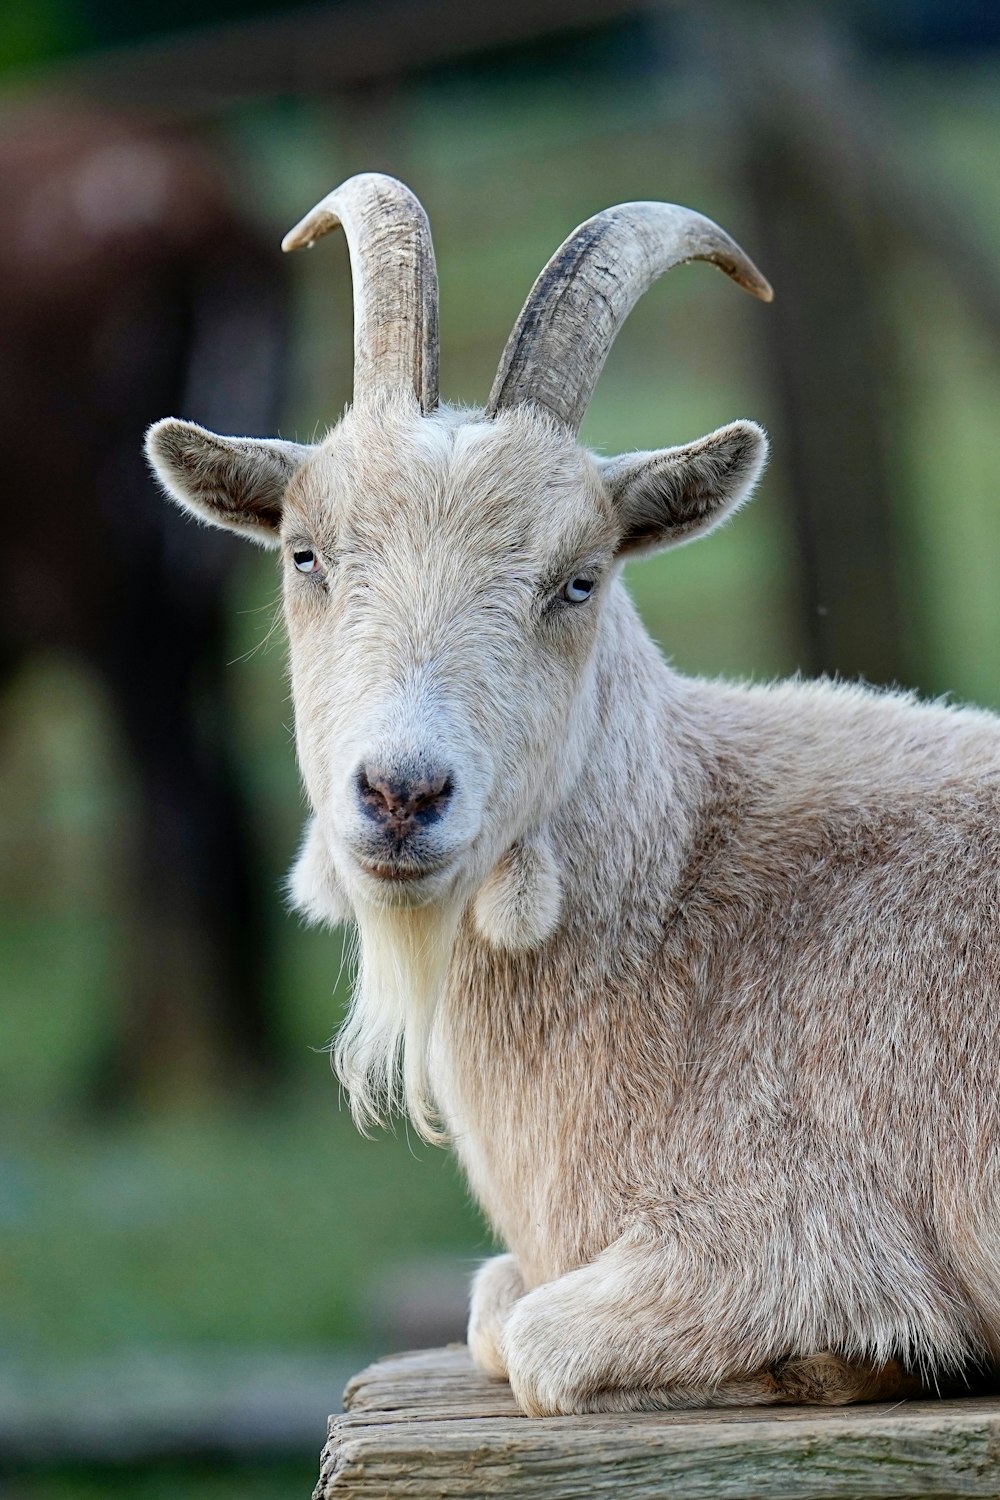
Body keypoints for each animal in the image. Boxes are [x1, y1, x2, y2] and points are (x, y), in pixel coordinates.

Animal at [146, 178, 1000, 1416]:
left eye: (578, 580)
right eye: (304, 554)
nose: (401, 793)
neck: (678, 882)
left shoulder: (801, 1227)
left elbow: (536, 1337)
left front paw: (840, 1359)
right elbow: (490, 1301)